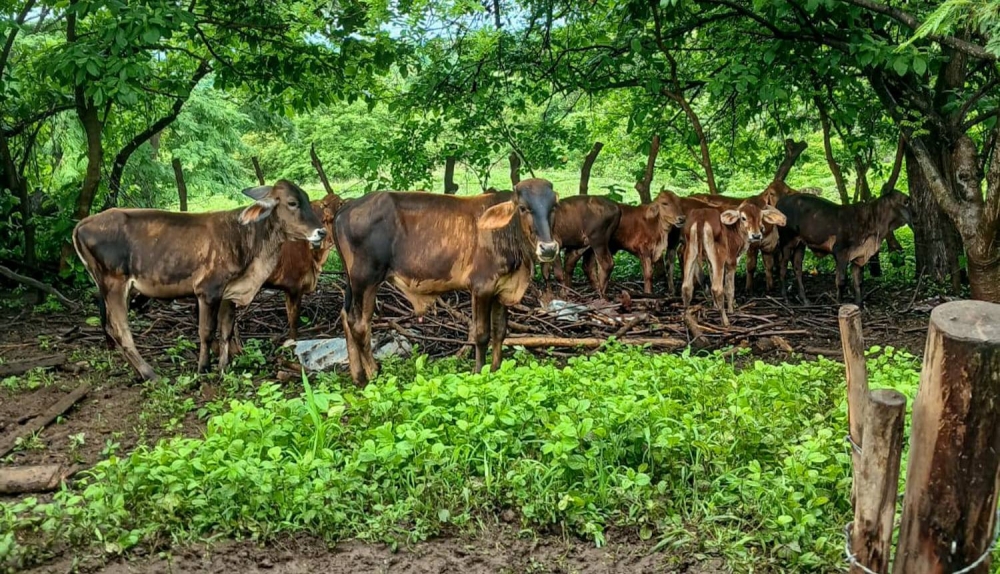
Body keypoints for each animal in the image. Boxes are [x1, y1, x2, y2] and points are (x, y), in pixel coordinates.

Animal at [74, 182, 324, 380]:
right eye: (292, 203)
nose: (321, 232)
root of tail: (81, 224)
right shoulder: (207, 291)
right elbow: (206, 331)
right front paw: (203, 368)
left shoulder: (229, 293)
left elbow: (226, 330)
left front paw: (223, 368)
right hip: (114, 283)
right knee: (119, 329)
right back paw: (149, 373)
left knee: (109, 327)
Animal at [336, 179, 564, 388]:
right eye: (523, 208)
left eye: (553, 206)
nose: (548, 248)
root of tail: (347, 207)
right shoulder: (482, 288)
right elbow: (482, 334)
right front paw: (479, 373)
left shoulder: (502, 289)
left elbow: (500, 331)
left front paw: (496, 370)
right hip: (365, 280)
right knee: (360, 325)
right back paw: (373, 374)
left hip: (353, 282)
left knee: (346, 317)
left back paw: (358, 376)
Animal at [772, 189, 916, 308]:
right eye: (906, 201)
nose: (915, 218)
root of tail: (780, 202)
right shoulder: (841, 252)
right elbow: (841, 280)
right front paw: (839, 303)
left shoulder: (858, 255)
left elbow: (858, 281)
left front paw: (859, 304)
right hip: (786, 241)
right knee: (782, 267)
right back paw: (786, 298)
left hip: (800, 244)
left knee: (797, 267)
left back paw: (805, 300)